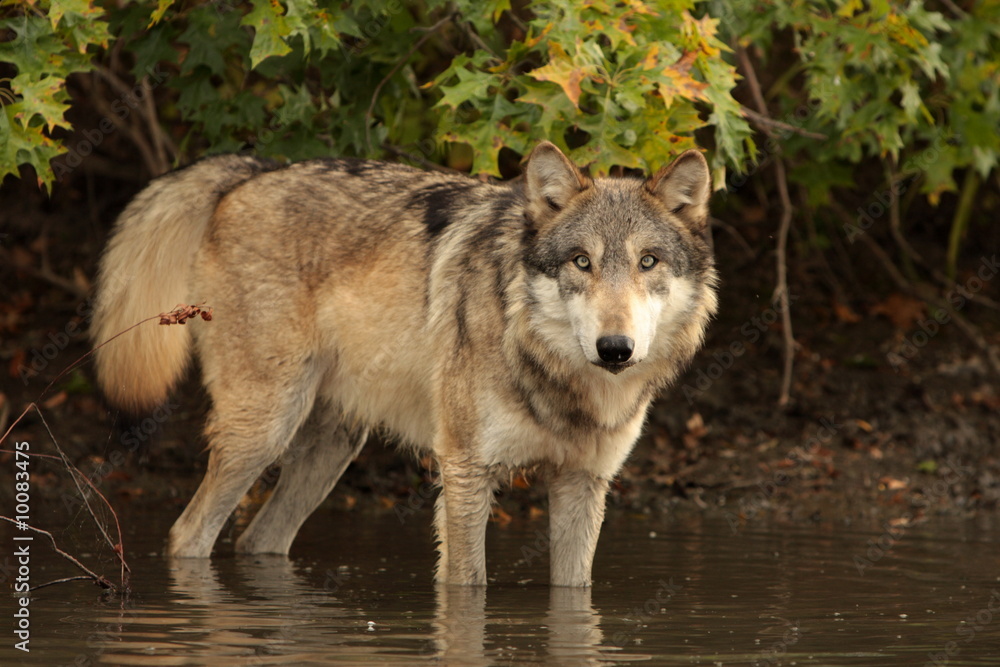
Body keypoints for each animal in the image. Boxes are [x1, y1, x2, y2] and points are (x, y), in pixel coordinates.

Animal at [91, 141, 717, 587]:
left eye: (648, 261)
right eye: (581, 262)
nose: (615, 348)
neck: (557, 379)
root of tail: (249, 172)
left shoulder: (582, 484)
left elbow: (574, 594)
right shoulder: (465, 472)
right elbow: (468, 586)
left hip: (331, 449)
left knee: (256, 541)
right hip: (263, 431)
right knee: (187, 534)